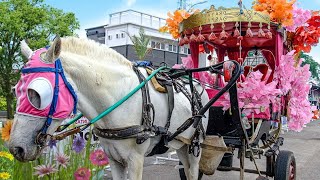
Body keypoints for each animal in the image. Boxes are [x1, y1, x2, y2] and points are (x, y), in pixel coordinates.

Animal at [8, 36, 218, 179]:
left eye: (37, 93)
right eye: (15, 90)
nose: (15, 148)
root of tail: (197, 85)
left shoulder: (136, 160)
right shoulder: (114, 159)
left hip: (194, 145)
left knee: (193, 170)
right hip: (181, 144)